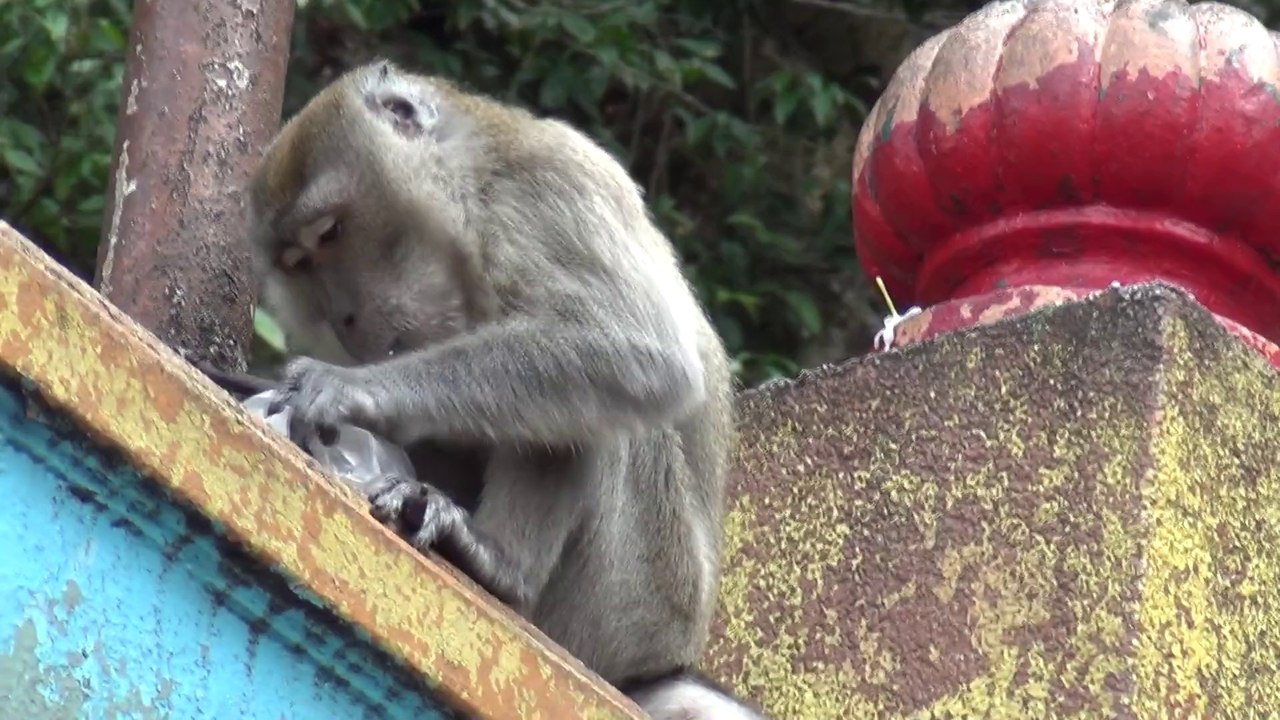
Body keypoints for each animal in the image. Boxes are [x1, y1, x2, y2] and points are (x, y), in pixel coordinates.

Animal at [243, 60, 768, 719]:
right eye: (297, 264)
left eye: (331, 233)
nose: (344, 318)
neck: (475, 191)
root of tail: (653, 667)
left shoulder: (550, 188)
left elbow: (639, 350)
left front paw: (346, 388)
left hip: (633, 605)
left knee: (608, 404)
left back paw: (497, 563)